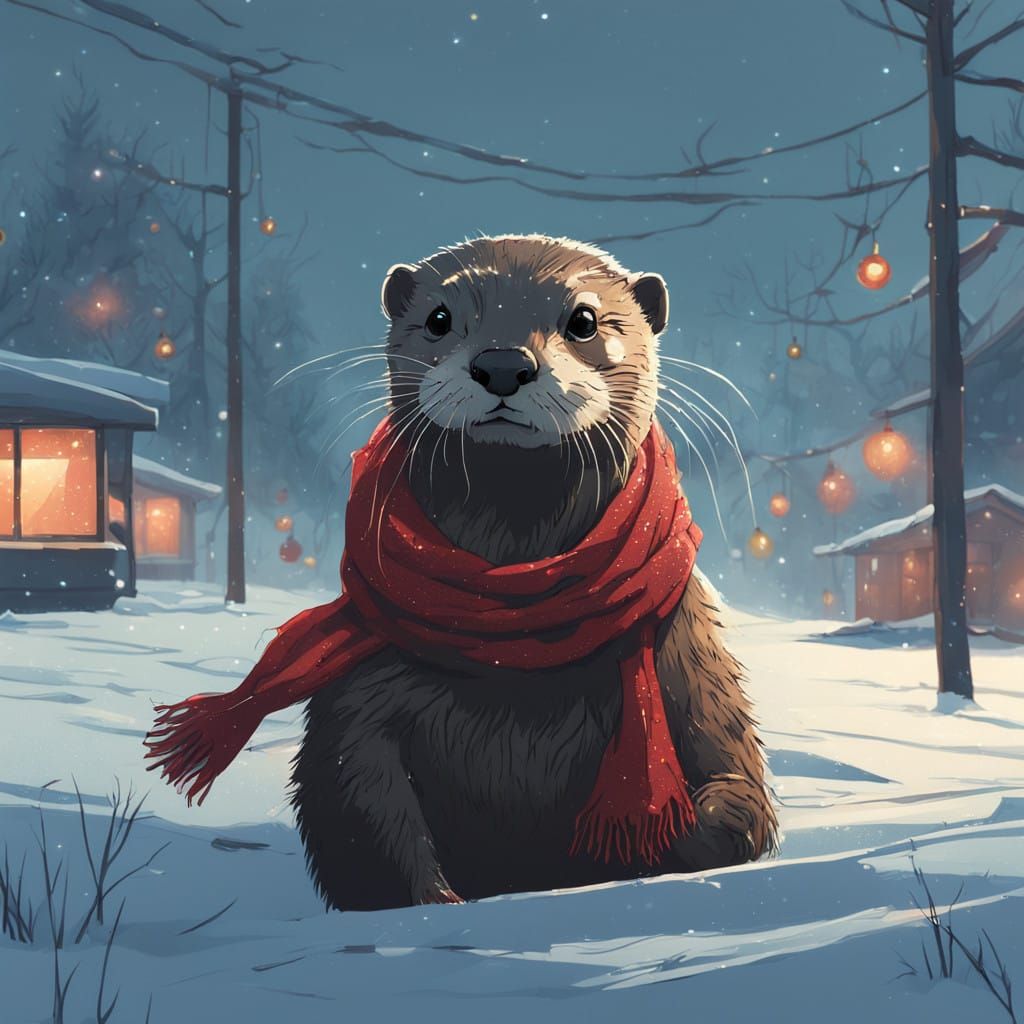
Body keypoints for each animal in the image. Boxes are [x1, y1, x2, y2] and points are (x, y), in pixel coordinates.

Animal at [291, 234, 777, 910]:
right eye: (439, 317)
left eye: (585, 319)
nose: (502, 363)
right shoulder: (361, 690)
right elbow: (355, 805)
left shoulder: (694, 660)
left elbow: (739, 794)